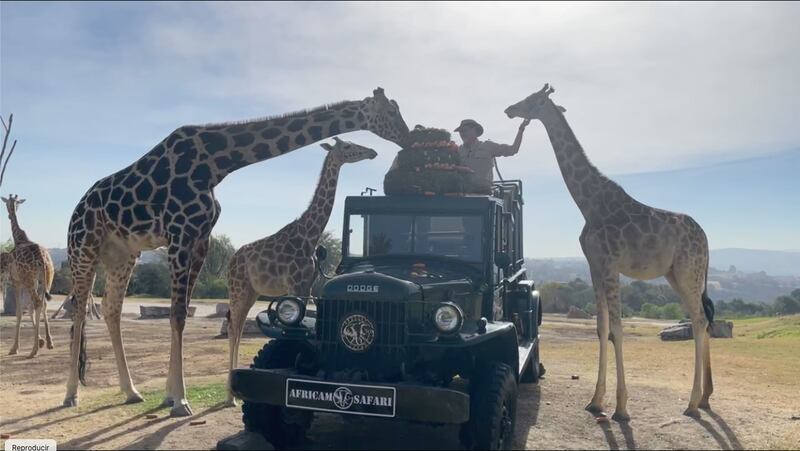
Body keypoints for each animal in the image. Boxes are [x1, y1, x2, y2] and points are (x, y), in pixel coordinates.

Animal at [1, 196, 55, 358]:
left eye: (7, 203)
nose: (9, 213)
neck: (19, 238)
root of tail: (42, 260)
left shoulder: (16, 281)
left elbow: (19, 311)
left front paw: (14, 348)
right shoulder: (33, 281)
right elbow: (30, 308)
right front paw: (43, 341)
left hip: (29, 280)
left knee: (37, 303)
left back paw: (33, 350)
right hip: (47, 279)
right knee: (42, 303)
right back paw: (48, 343)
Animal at [223, 137, 376, 406]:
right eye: (348, 146)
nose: (372, 152)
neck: (309, 235)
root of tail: (231, 261)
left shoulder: (307, 285)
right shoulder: (295, 284)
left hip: (251, 292)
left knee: (238, 328)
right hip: (238, 289)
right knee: (233, 328)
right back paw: (230, 397)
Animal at [504, 85, 716, 420]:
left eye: (533, 98)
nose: (510, 109)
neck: (589, 203)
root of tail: (706, 238)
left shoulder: (611, 264)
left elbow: (617, 328)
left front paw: (621, 407)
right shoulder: (594, 265)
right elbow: (602, 328)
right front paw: (596, 400)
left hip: (688, 272)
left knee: (698, 320)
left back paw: (692, 403)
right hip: (676, 275)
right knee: (703, 319)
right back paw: (705, 398)